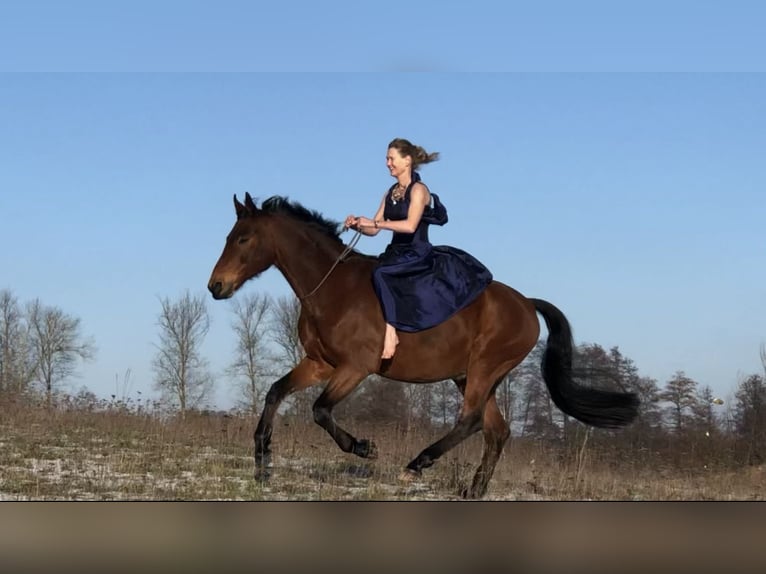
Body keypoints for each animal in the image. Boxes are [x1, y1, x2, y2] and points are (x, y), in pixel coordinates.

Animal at [207, 194, 640, 500]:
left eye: (243, 238)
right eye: (227, 237)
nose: (216, 286)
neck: (333, 289)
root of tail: (527, 304)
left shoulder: (355, 367)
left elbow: (320, 410)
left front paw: (364, 448)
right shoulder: (319, 363)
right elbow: (275, 392)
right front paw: (262, 462)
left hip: (483, 369)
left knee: (471, 422)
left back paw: (417, 463)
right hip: (471, 376)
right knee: (496, 431)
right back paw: (472, 491)